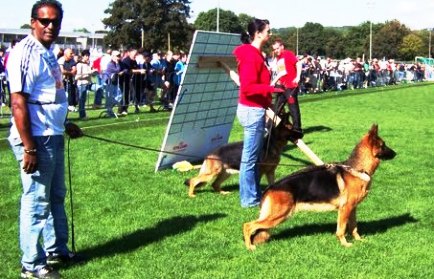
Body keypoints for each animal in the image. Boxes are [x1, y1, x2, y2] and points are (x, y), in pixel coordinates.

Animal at [242, 124, 396, 249]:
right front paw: (345, 244)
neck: (358, 169)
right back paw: (249, 247)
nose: (396, 153)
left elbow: (353, 227)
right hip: (279, 215)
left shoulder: (352, 209)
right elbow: (341, 229)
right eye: (383, 145)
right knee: (248, 226)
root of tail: (269, 189)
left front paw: (359, 240)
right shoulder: (345, 209)